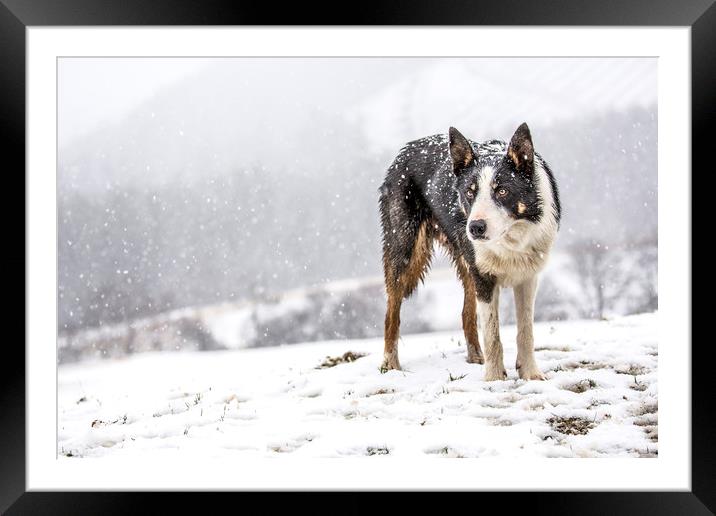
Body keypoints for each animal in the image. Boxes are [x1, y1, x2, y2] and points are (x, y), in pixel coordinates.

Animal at [378, 123, 564, 380]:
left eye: (502, 191)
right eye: (469, 192)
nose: (475, 227)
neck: (509, 240)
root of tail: (408, 148)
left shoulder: (528, 277)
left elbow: (525, 331)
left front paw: (530, 374)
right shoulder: (484, 277)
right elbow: (493, 335)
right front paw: (494, 379)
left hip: (465, 265)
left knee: (466, 314)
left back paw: (476, 358)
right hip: (404, 251)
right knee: (391, 313)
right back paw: (390, 365)